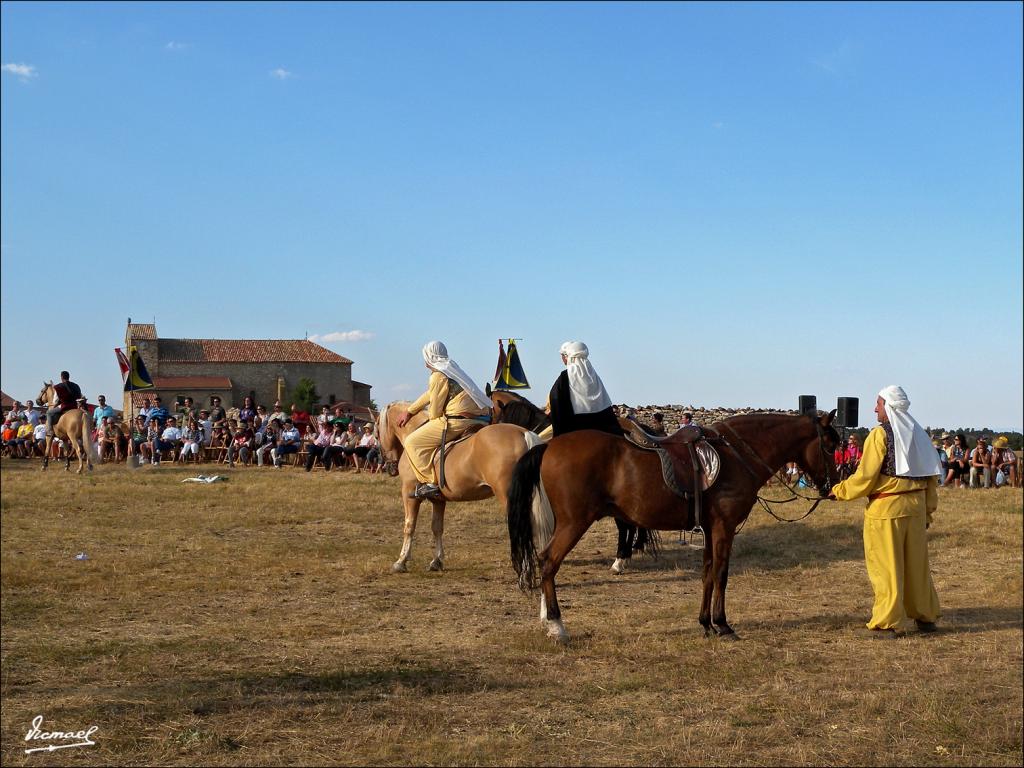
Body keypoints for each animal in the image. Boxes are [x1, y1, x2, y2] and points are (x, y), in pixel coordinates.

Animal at [378, 403, 544, 573]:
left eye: (377, 433)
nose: (389, 467)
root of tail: (523, 433)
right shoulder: (438, 500)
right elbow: (437, 527)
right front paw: (436, 561)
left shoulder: (409, 493)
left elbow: (409, 526)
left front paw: (401, 561)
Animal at [505, 415, 839, 643]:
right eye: (831, 445)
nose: (833, 486)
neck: (736, 455)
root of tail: (549, 445)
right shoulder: (724, 528)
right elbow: (721, 573)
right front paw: (722, 624)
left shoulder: (710, 529)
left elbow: (707, 573)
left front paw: (705, 623)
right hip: (574, 523)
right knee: (548, 562)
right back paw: (556, 625)